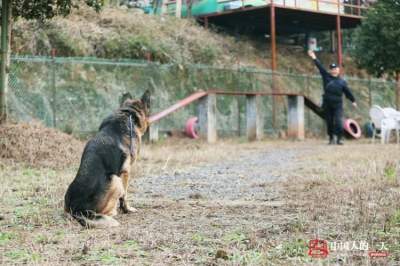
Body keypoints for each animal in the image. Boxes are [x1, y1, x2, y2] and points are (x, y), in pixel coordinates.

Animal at [65, 90, 151, 228]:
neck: (128, 113)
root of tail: (77, 211)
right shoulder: (126, 172)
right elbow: (125, 195)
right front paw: (127, 209)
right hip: (116, 180)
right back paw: (113, 211)